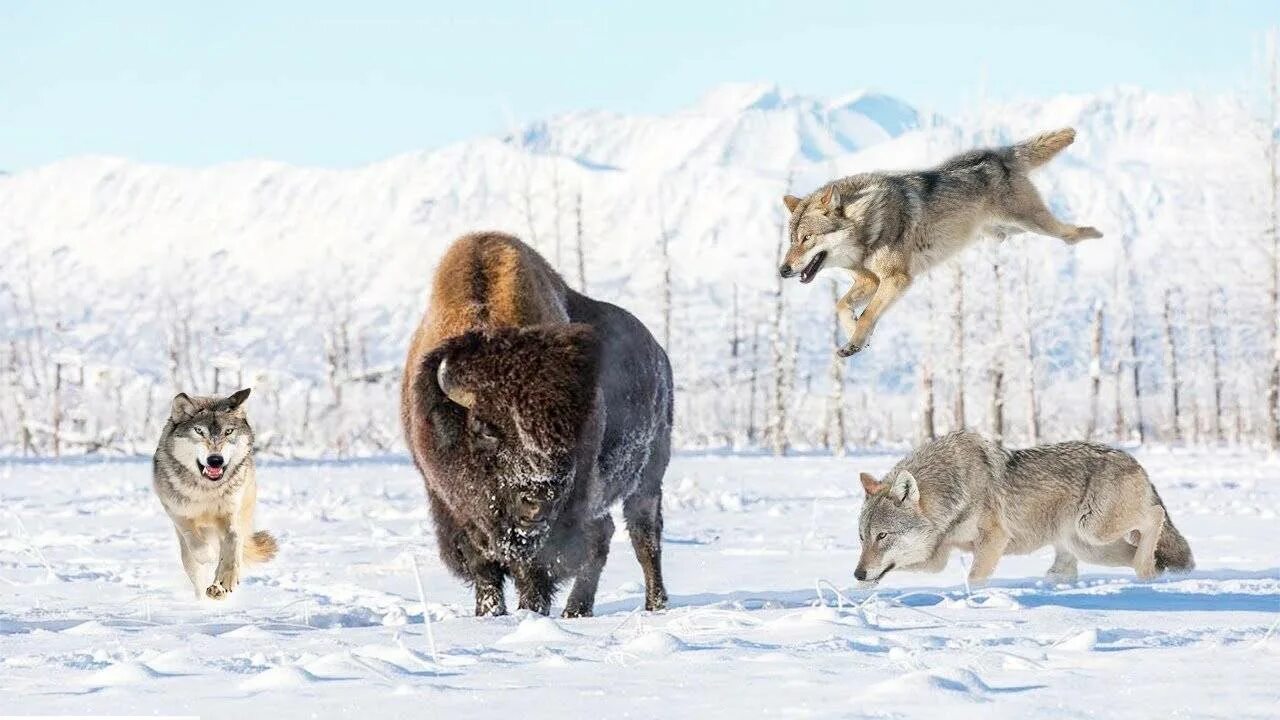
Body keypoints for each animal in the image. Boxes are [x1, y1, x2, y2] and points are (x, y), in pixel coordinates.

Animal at [152, 389, 277, 597]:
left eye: (228, 432)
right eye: (199, 431)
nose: (215, 460)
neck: (207, 490)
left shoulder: (230, 515)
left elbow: (233, 541)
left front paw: (226, 578)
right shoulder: (175, 510)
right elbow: (193, 539)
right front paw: (207, 554)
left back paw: (217, 588)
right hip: (187, 554)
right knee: (196, 573)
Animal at [401, 230, 675, 617]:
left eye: (568, 428)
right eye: (485, 428)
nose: (537, 499)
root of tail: (659, 356)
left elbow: (535, 569)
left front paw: (530, 611)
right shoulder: (451, 509)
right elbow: (484, 567)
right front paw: (489, 613)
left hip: (646, 480)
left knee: (643, 537)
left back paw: (654, 605)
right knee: (604, 534)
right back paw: (577, 610)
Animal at [778, 128, 1100, 356]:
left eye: (807, 238)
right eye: (792, 240)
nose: (782, 270)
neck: (867, 224)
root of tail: (998, 153)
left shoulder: (897, 279)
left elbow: (868, 313)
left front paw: (854, 342)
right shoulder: (869, 280)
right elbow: (842, 306)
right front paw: (856, 336)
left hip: (1032, 224)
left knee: (1069, 234)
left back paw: (1096, 232)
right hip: (1006, 231)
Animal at [855, 427, 1192, 586]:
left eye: (882, 536)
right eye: (862, 538)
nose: (858, 573)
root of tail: (1133, 459)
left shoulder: (994, 540)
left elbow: (975, 578)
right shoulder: (938, 556)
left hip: (1095, 529)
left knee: (1156, 515)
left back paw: (1146, 571)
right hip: (1091, 548)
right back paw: (1150, 574)